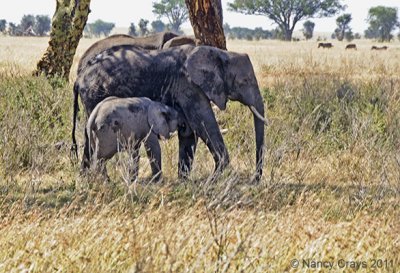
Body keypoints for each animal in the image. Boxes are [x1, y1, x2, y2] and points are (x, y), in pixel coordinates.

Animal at [72, 44, 266, 181]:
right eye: (244, 81)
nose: (255, 179)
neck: (220, 53)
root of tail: (79, 78)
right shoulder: (189, 86)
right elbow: (203, 124)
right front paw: (214, 178)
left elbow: (189, 132)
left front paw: (184, 181)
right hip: (94, 94)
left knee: (88, 139)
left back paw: (86, 180)